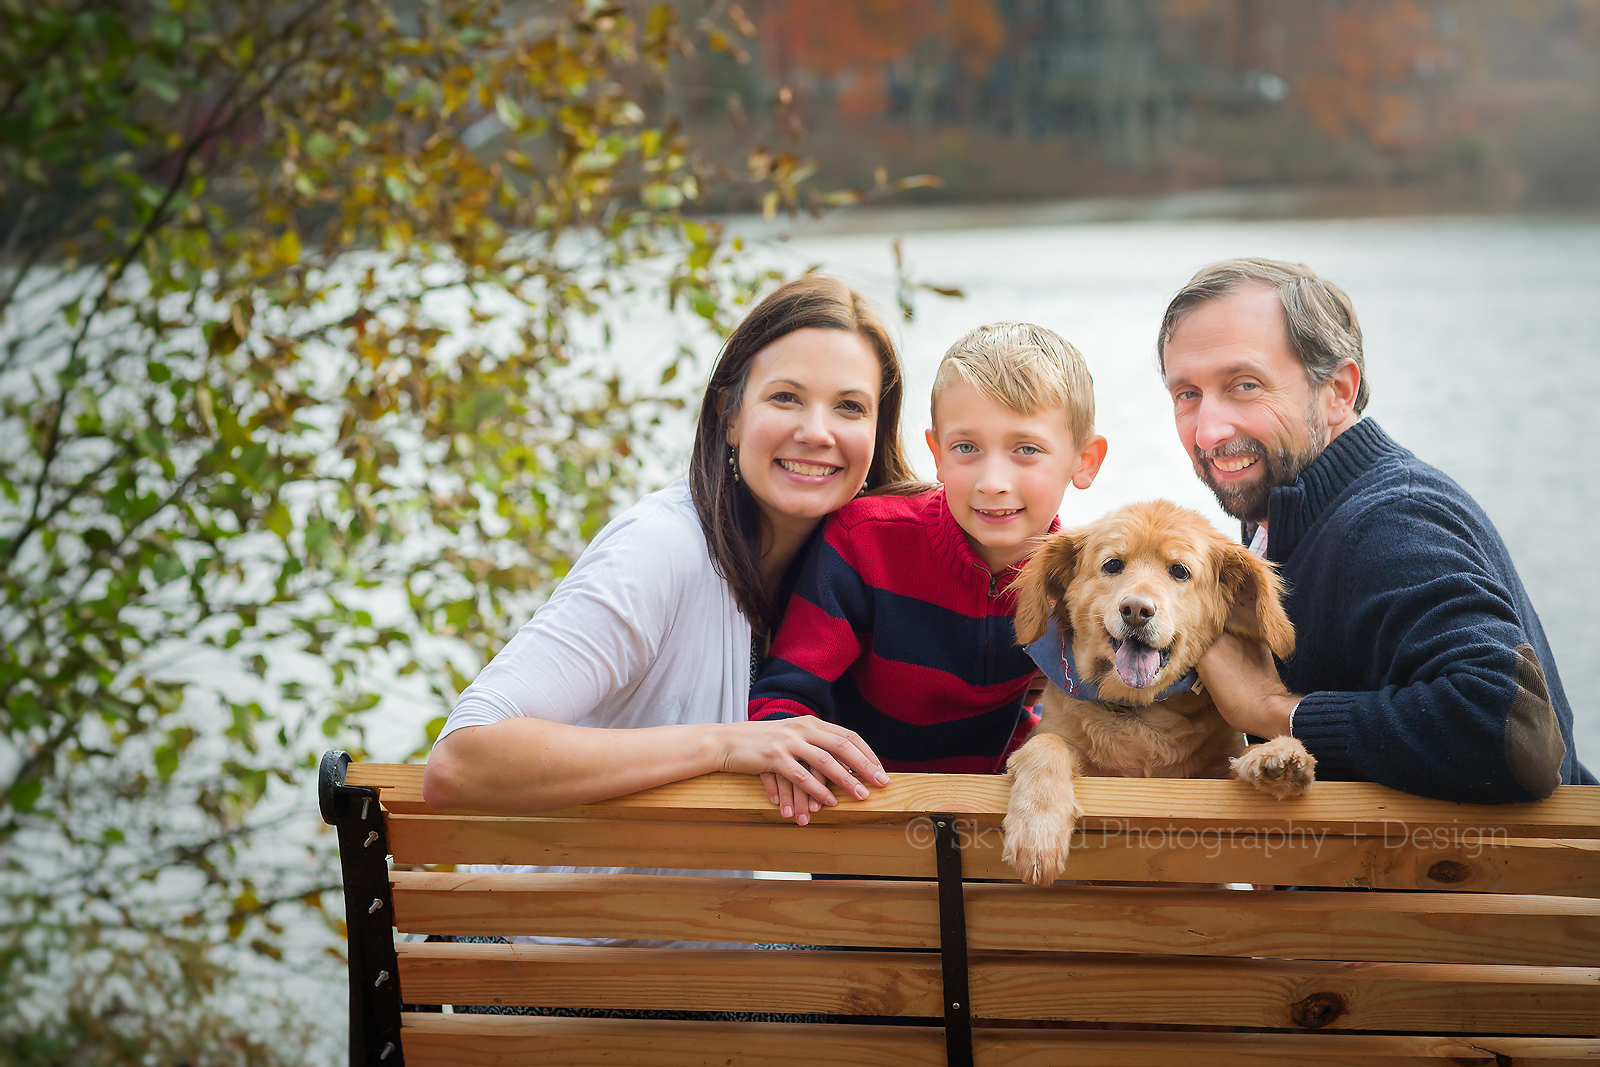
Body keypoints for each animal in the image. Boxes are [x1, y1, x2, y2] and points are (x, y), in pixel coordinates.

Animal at [998, 502, 1312, 883]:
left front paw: (1276, 755)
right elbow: (1046, 744)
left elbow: (1237, 764)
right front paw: (1037, 828)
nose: (1136, 610)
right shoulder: (1059, 742)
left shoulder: (1213, 776)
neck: (1140, 711)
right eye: (1113, 565)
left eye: (1179, 571)